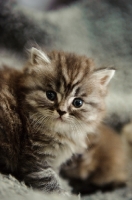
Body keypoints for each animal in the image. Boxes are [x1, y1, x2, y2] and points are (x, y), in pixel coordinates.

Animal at [0, 47, 114, 194]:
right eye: (50, 95)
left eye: (78, 102)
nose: (61, 111)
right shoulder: (35, 156)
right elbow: (47, 179)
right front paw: (63, 193)